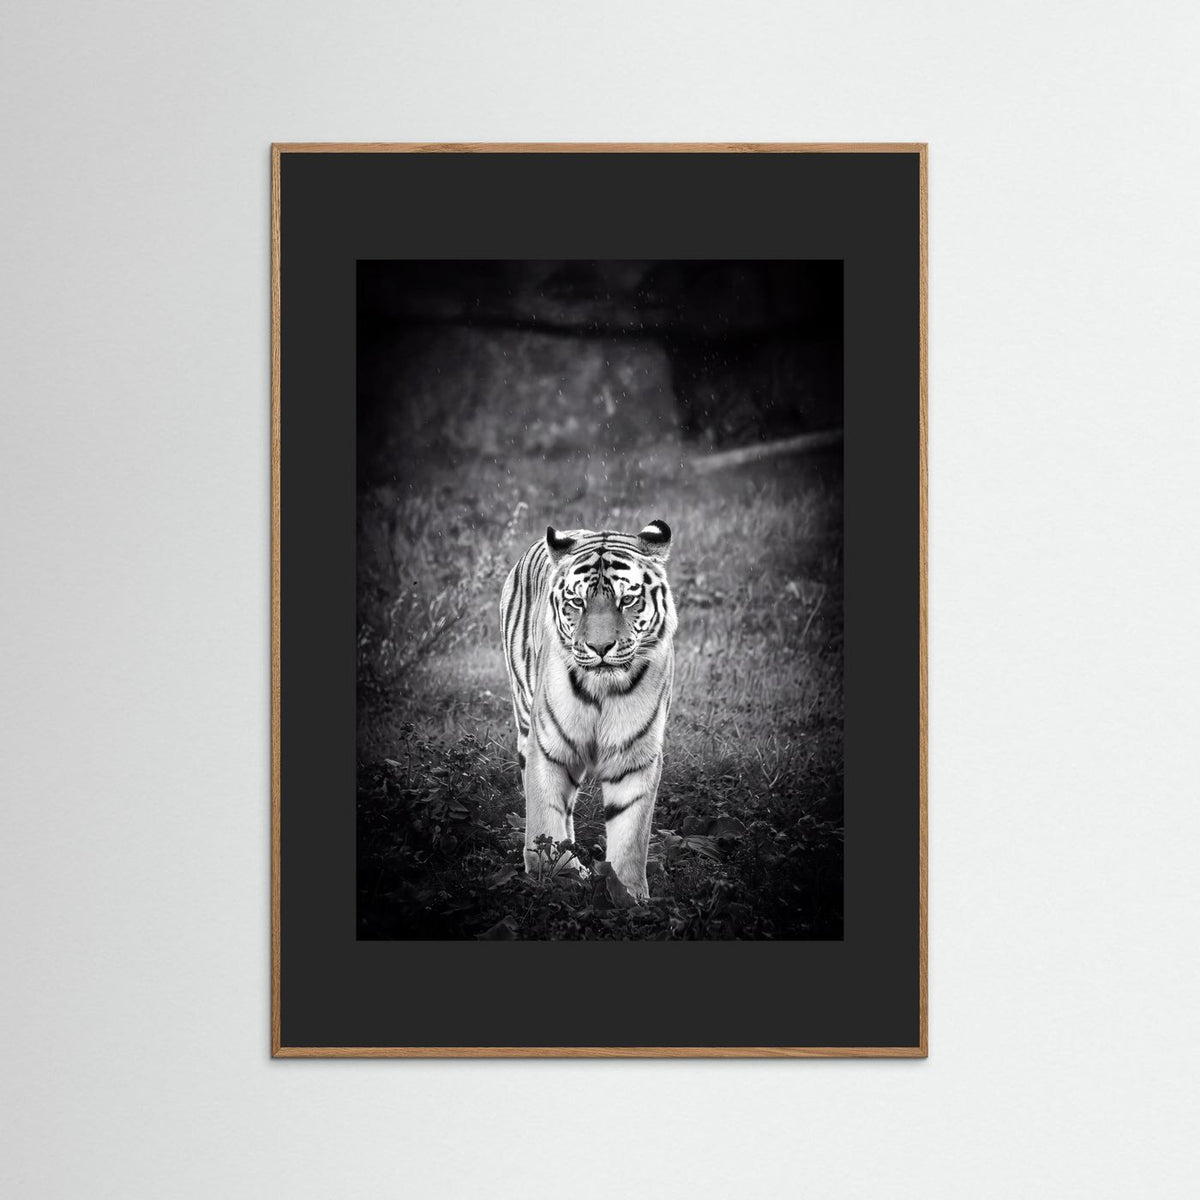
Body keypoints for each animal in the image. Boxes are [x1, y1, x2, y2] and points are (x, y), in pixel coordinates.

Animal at [500, 519, 677, 900]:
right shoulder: (548, 747)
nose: (600, 647)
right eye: (577, 602)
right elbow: (545, 816)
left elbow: (631, 833)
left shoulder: (635, 756)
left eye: (627, 600)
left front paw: (628, 895)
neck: (602, 690)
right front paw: (555, 876)